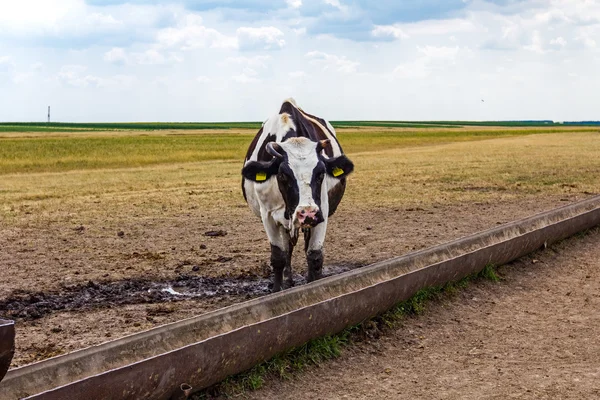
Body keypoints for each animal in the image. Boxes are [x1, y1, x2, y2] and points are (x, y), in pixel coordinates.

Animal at [243, 98, 354, 292]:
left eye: (321, 173)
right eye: (282, 175)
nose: (306, 213)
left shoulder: (322, 212)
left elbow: (314, 255)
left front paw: (313, 283)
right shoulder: (267, 215)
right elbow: (278, 256)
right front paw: (277, 289)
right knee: (288, 248)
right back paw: (288, 280)